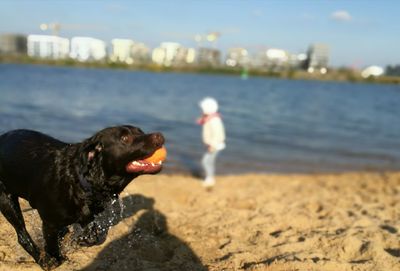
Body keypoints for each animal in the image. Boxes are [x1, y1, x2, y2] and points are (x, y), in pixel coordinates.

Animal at [0, 125, 166, 270]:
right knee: (22, 235)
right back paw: (43, 260)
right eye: (125, 138)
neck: (80, 179)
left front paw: (79, 240)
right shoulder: (49, 223)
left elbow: (92, 236)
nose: (160, 136)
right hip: (7, 201)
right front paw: (55, 259)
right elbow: (52, 247)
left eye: (141, 131)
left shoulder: (88, 215)